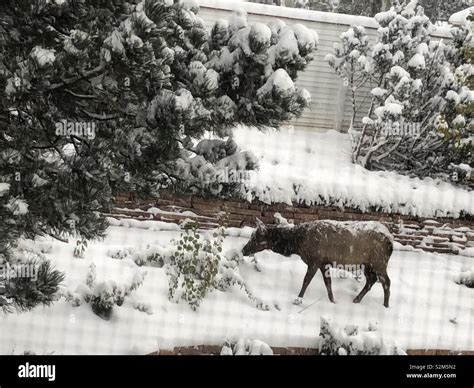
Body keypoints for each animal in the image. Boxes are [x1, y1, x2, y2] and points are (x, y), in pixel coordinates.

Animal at [241, 220, 392, 308]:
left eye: (255, 238)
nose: (243, 250)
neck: (297, 244)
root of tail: (391, 241)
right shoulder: (323, 262)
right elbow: (328, 283)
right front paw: (333, 300)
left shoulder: (315, 259)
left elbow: (306, 280)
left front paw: (298, 300)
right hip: (369, 264)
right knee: (372, 280)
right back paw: (356, 300)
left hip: (379, 261)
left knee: (386, 281)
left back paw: (385, 305)